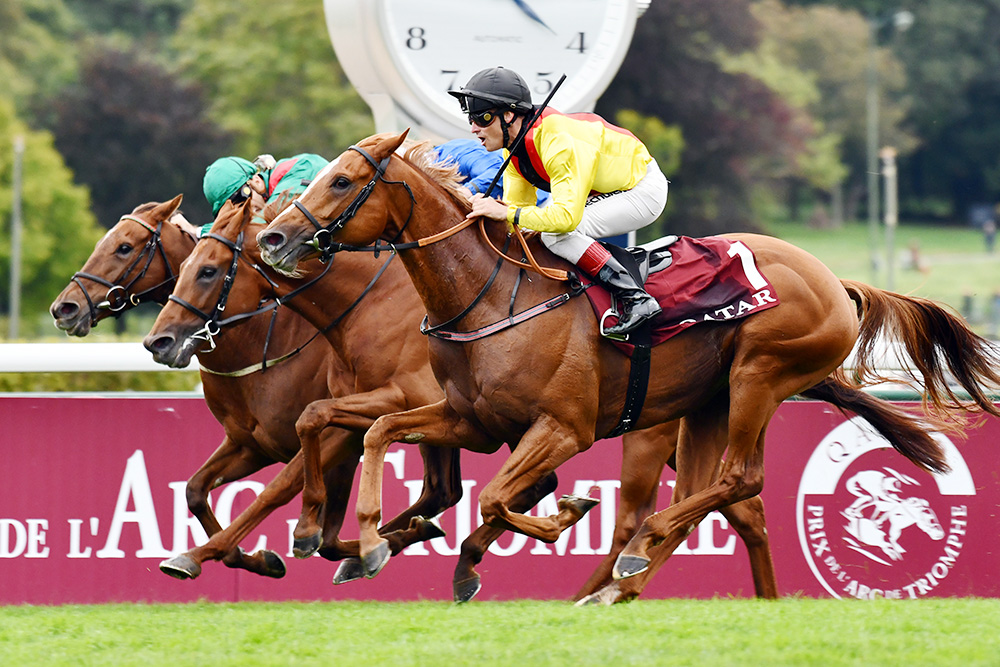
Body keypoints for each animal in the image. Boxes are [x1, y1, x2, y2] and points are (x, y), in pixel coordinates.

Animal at [154, 196, 780, 604]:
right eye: (183, 268)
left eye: (208, 271)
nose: (160, 341)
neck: (363, 309)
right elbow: (207, 485)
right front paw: (357, 544)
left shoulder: (392, 411)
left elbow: (287, 486)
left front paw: (211, 553)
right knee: (731, 507)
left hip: (649, 435)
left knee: (649, 512)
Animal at [256, 132, 1000, 604]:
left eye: (342, 180)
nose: (274, 236)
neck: (489, 296)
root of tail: (834, 281)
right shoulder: (471, 419)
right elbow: (377, 432)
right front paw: (357, 537)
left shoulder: (563, 428)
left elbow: (498, 497)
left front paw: (559, 513)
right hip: (705, 403)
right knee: (714, 495)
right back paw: (628, 581)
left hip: (758, 376)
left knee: (736, 480)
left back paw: (634, 557)